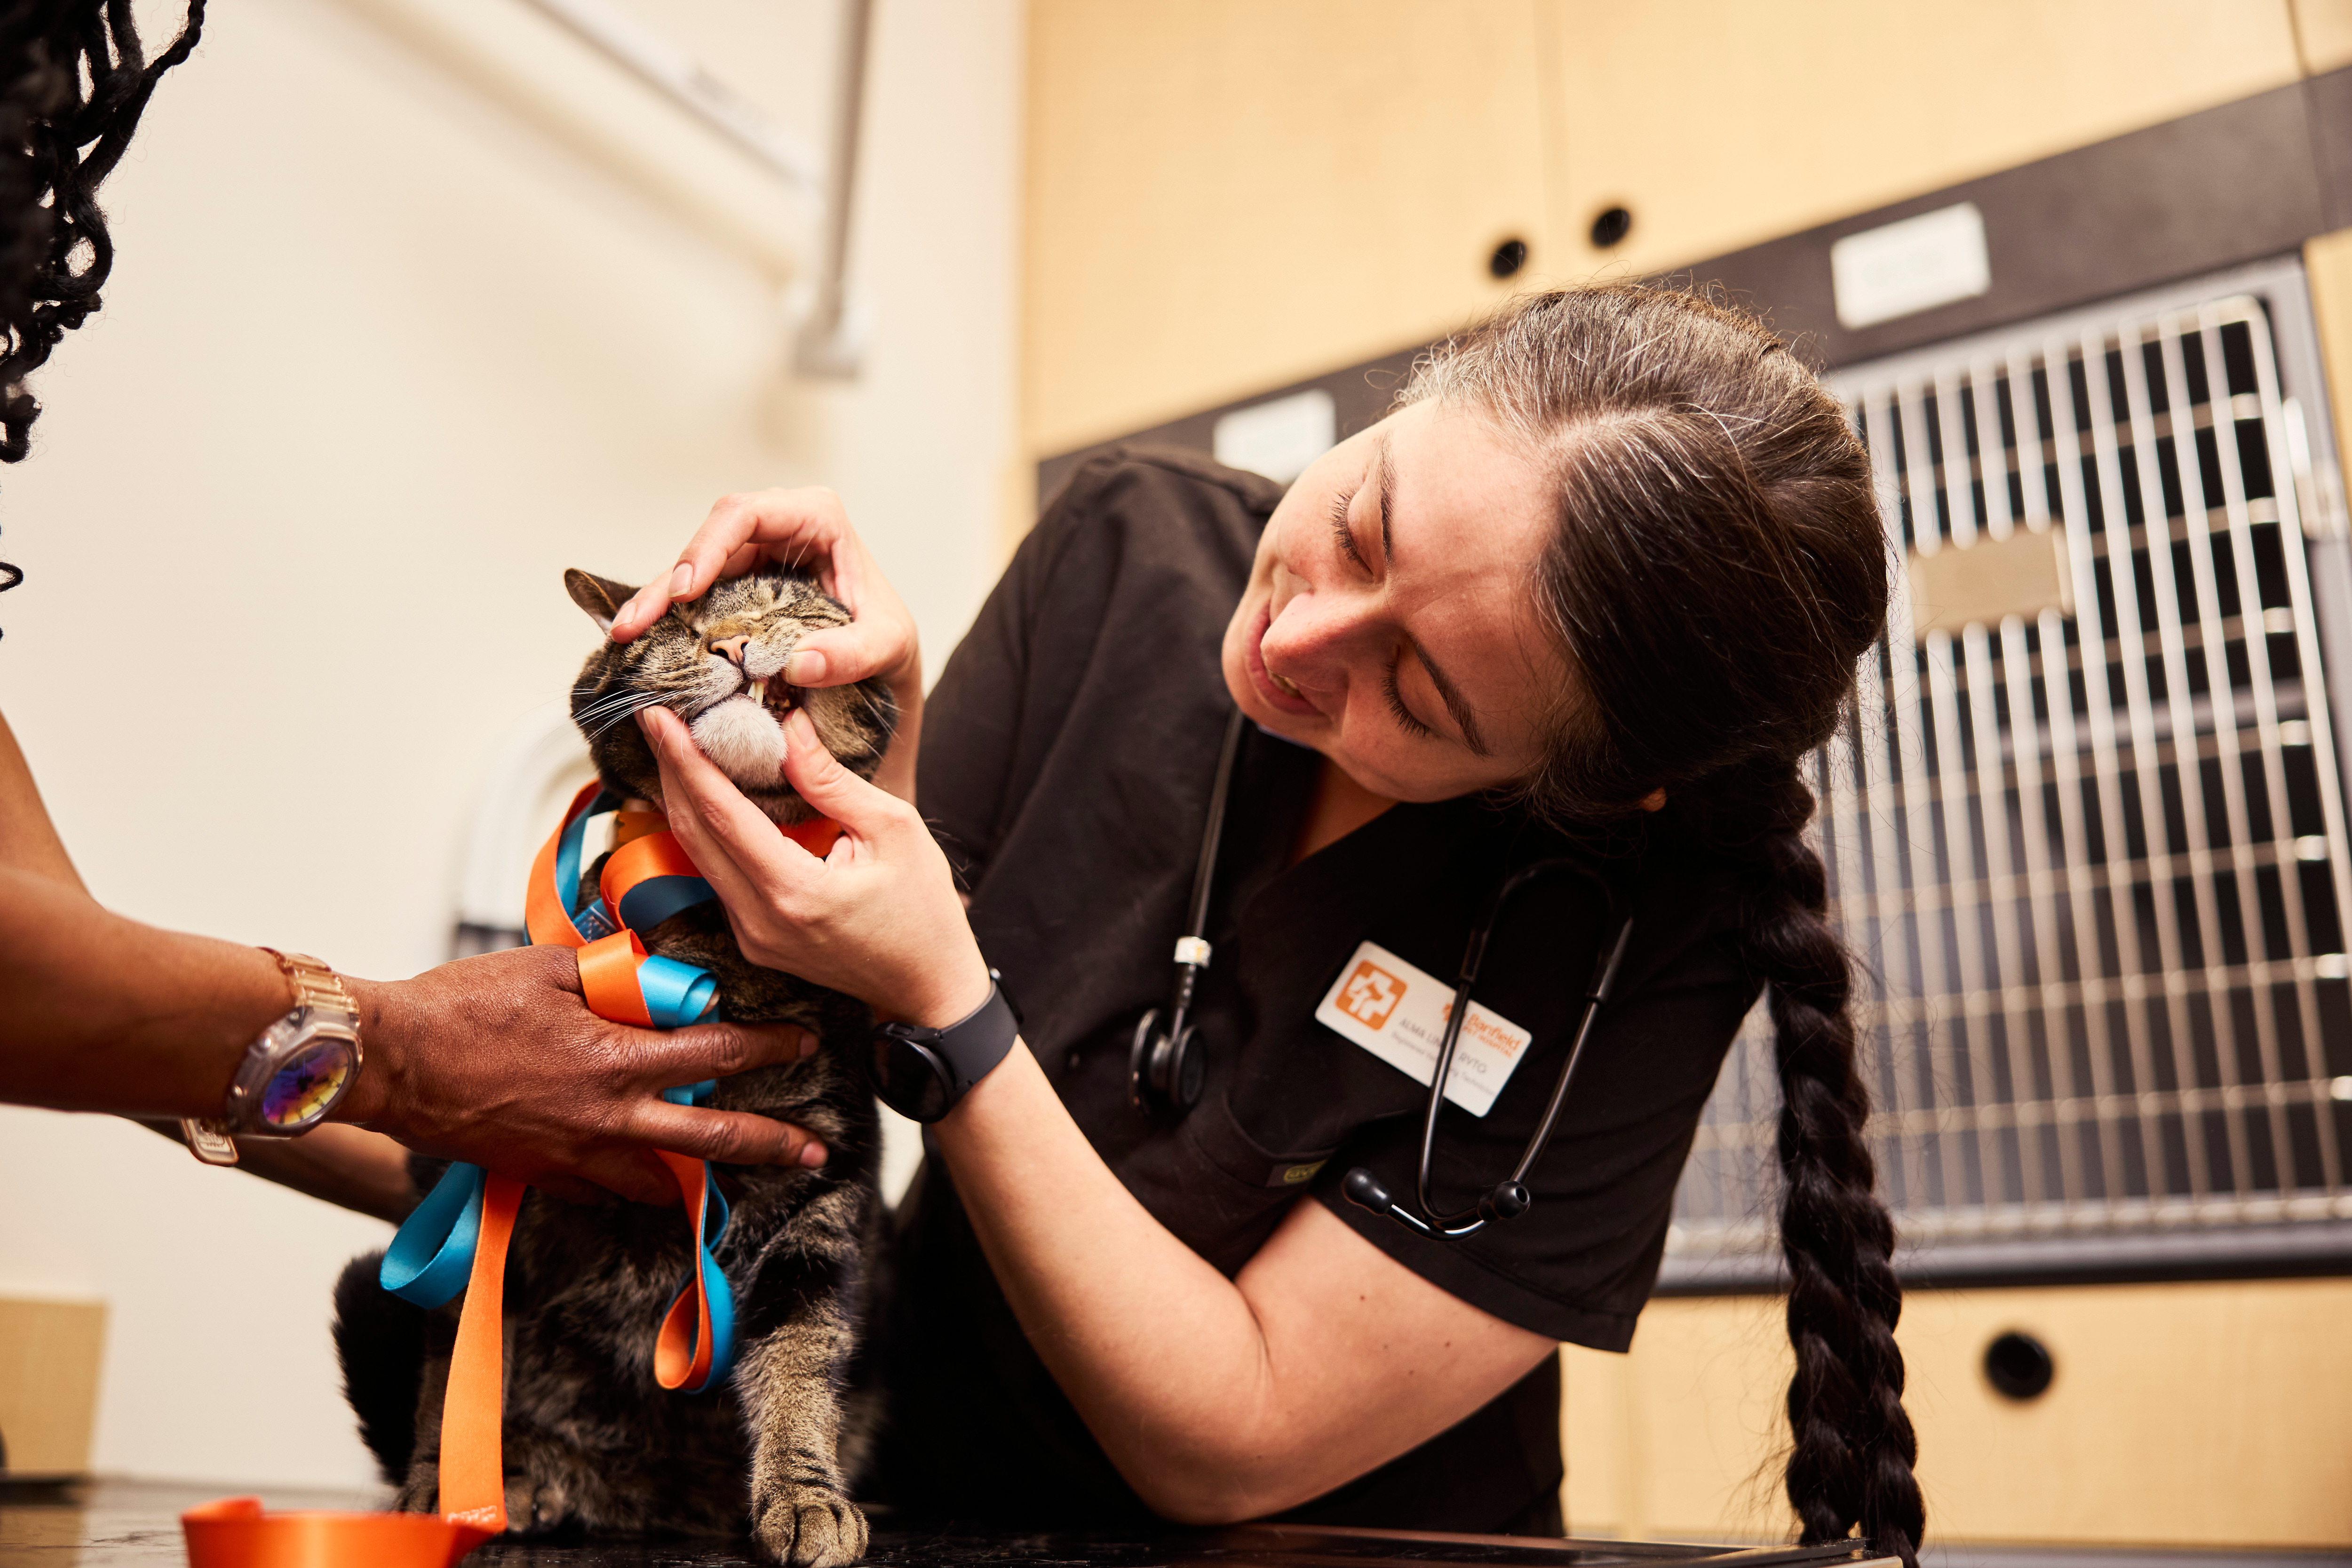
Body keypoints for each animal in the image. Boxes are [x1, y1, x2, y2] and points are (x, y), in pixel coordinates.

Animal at [336, 566, 903, 1568]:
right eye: (676, 619)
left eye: (786, 603)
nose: (729, 643)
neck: (717, 936)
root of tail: (643, 1504)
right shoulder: (491, 1154)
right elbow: (458, 1355)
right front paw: (442, 1490)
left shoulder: (826, 1173)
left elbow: (802, 1348)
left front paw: (805, 1491)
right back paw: (525, 1479)